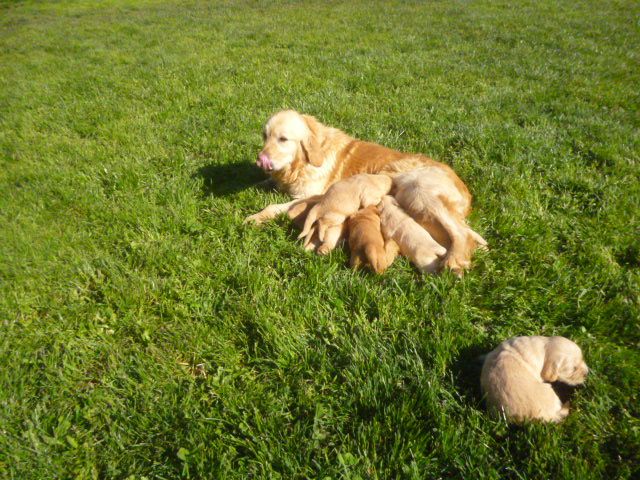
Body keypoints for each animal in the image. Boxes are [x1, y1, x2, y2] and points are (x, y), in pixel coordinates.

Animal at [242, 109, 482, 274]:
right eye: (264, 136)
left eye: (283, 139)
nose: (260, 160)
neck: (301, 163)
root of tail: (466, 191)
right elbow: (263, 182)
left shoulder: (308, 195)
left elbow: (273, 206)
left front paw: (254, 218)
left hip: (417, 190)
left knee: (463, 234)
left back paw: (453, 262)